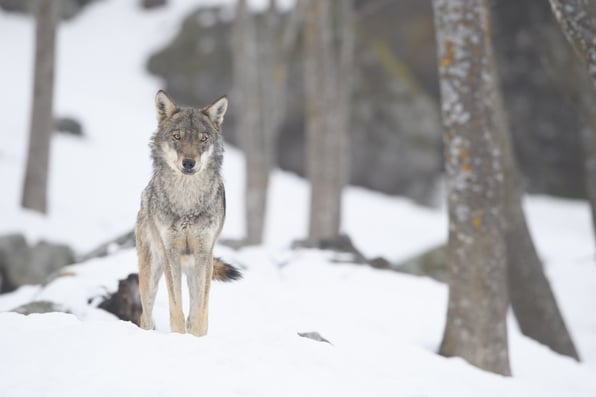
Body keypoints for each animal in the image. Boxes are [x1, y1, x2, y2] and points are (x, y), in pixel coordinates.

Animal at [135, 90, 240, 338]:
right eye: (177, 136)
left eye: (203, 138)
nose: (189, 163)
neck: (187, 203)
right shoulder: (170, 253)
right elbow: (176, 309)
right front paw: (178, 338)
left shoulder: (204, 253)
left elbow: (200, 312)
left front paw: (197, 338)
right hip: (151, 273)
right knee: (146, 315)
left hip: (194, 267)